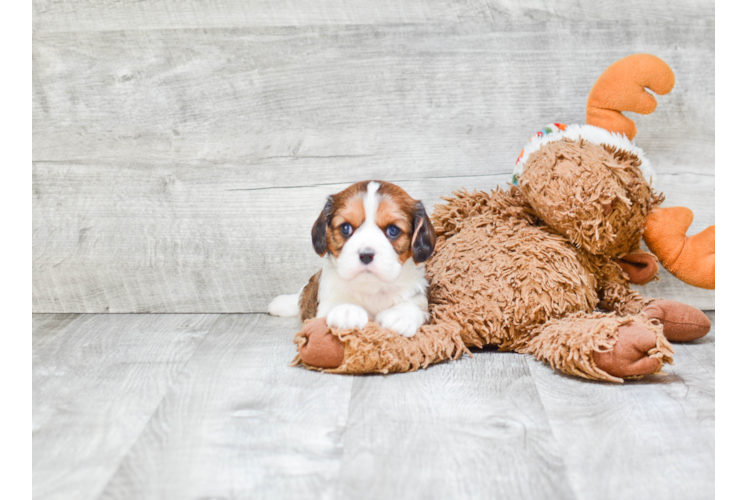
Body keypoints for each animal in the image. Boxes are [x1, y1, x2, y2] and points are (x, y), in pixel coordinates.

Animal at [266, 180, 436, 336]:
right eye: (345, 228)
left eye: (393, 230)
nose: (366, 255)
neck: (371, 287)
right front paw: (346, 309)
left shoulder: (419, 294)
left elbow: (415, 305)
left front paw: (401, 315)